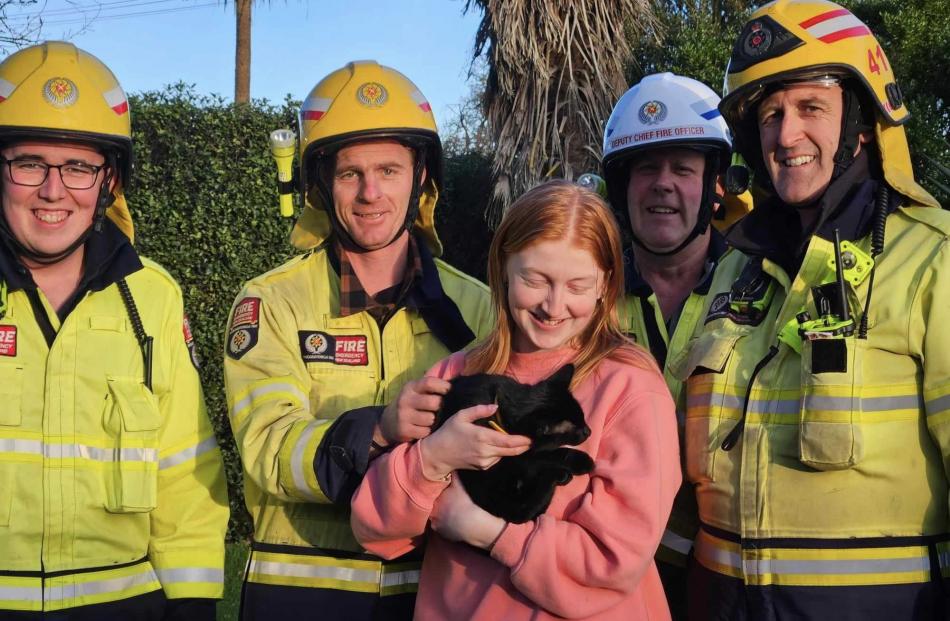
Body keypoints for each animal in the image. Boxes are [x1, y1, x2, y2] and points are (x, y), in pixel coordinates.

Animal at [436, 364, 596, 524]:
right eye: (579, 431)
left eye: (583, 418)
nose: (589, 431)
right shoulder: (517, 452)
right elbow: (548, 453)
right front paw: (583, 461)